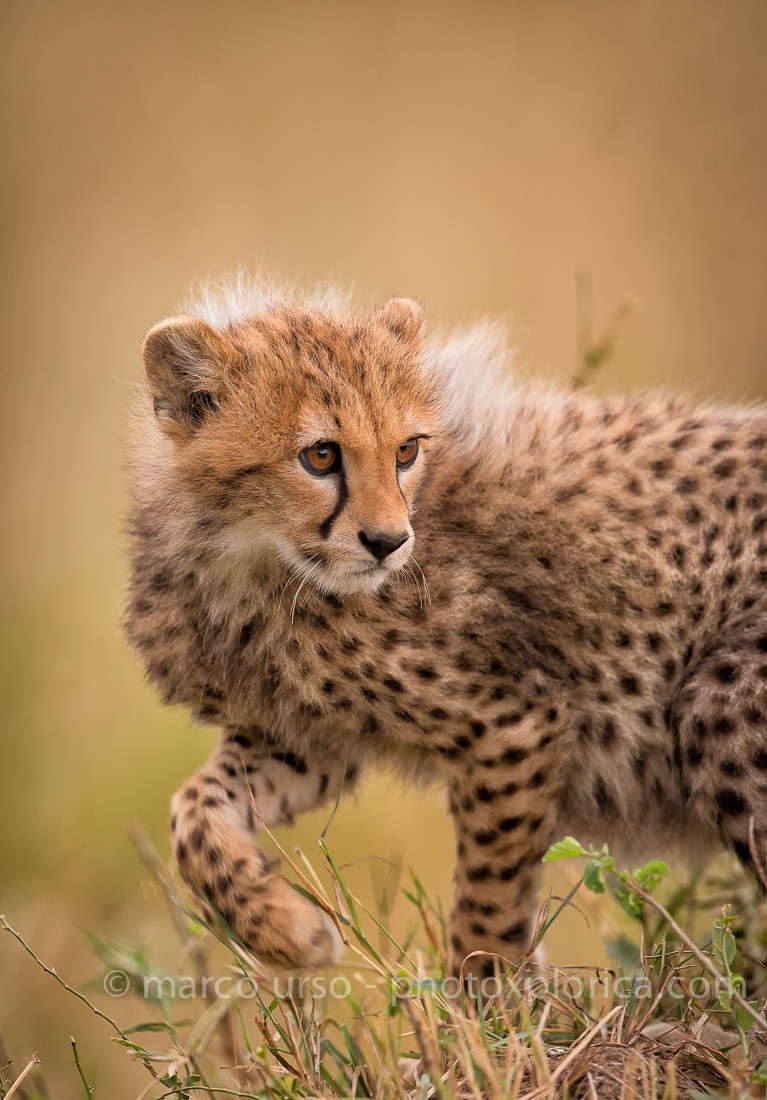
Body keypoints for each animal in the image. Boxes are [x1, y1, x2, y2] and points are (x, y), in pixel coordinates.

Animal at [125, 275, 767, 981]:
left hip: (719, 704)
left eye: (406, 450)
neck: (255, 564)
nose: (388, 542)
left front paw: (492, 993)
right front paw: (285, 930)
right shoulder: (310, 738)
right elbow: (193, 811)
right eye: (320, 455)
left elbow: (491, 891)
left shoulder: (518, 721)